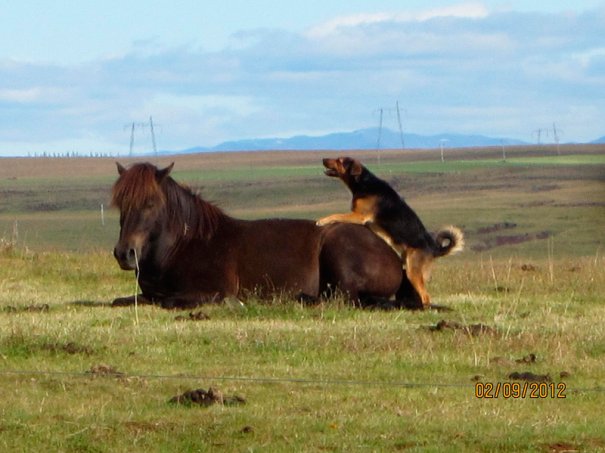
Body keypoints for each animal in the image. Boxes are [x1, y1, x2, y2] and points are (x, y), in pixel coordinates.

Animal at [111, 162, 418, 308]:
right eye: (120, 204)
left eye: (150, 203)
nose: (124, 253)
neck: (185, 244)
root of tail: (393, 255)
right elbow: (126, 300)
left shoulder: (210, 291)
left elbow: (168, 301)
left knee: (340, 299)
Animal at [316, 155, 462, 308]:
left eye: (339, 160)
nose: (323, 158)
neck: (363, 182)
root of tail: (434, 248)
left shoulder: (359, 216)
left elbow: (336, 215)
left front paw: (322, 220)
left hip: (413, 271)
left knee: (426, 296)